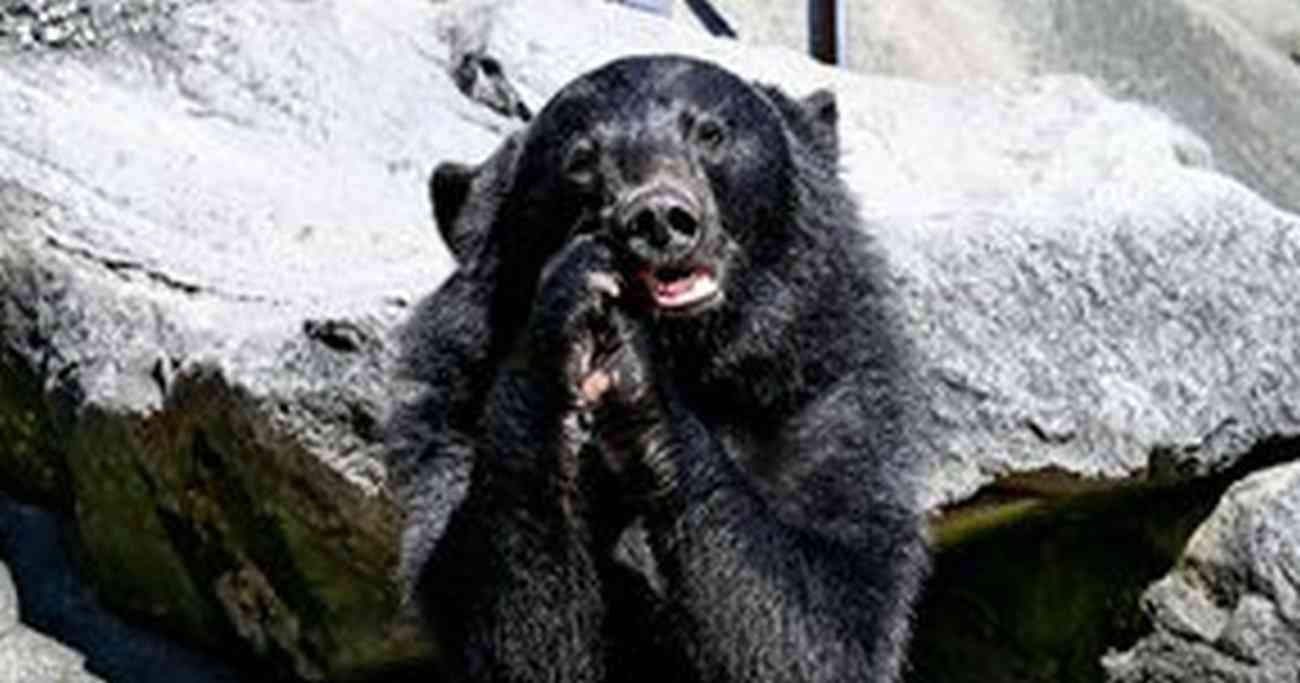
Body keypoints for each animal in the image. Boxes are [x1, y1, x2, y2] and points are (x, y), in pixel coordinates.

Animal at [387, 54, 929, 683]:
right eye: (580, 160)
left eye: (710, 132)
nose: (659, 218)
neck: (697, 357)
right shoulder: (453, 416)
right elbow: (513, 632)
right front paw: (577, 301)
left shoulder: (831, 399)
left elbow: (826, 625)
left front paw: (632, 365)